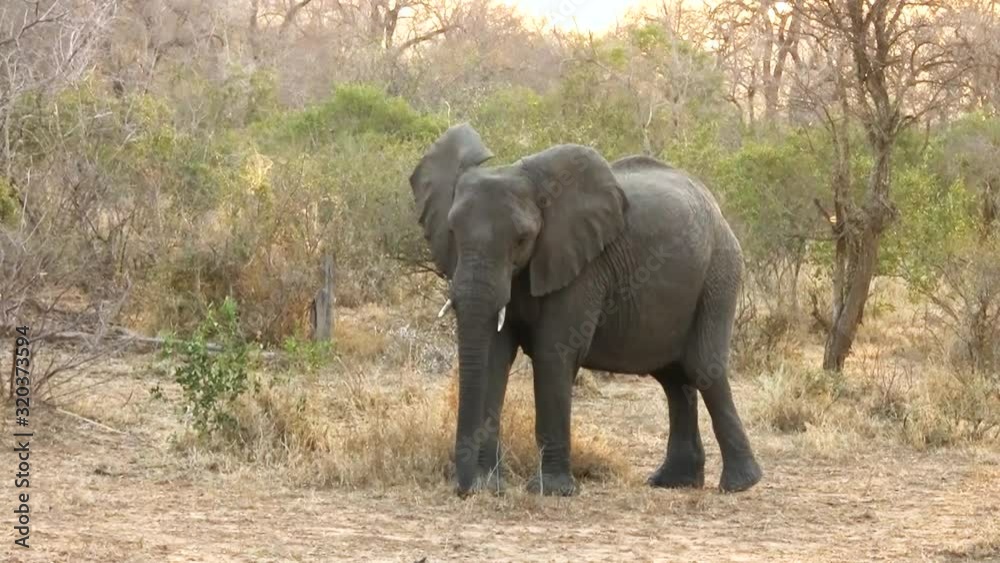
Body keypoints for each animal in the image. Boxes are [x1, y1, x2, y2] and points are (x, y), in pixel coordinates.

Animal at [409, 123, 762, 497]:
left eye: (522, 239)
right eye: (452, 232)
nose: (466, 489)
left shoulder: (583, 268)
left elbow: (554, 353)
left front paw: (551, 491)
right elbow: (494, 356)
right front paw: (491, 484)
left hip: (720, 272)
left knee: (703, 366)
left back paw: (739, 484)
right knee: (673, 376)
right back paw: (674, 482)